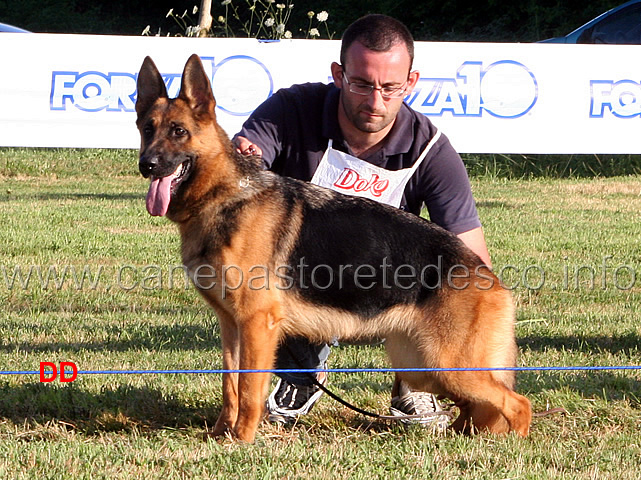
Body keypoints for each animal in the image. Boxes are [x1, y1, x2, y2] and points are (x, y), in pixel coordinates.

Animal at [134, 55, 528, 442]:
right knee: (477, 405)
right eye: (147, 129)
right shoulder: (232, 326)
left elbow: (248, 388)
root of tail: (487, 274)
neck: (223, 194)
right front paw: (221, 434)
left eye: (179, 132)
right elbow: (230, 384)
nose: (146, 165)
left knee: (517, 403)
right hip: (421, 364)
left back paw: (509, 443)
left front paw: (243, 440)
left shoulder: (257, 324)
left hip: (444, 364)